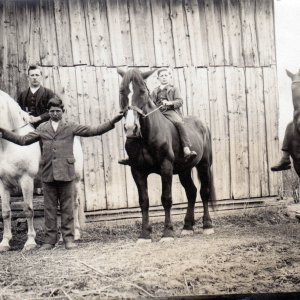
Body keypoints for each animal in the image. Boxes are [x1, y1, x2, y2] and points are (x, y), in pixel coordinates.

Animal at [0, 89, 84, 251]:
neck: (9, 145)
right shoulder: (2, 183)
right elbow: (6, 212)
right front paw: (5, 242)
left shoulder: (26, 180)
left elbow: (28, 210)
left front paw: (30, 242)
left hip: (75, 181)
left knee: (74, 204)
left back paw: (75, 234)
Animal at [117, 69, 216, 243]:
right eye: (122, 91)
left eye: (142, 92)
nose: (131, 128)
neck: (145, 137)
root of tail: (203, 124)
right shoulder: (137, 170)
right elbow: (144, 201)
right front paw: (144, 234)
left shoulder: (166, 167)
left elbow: (166, 198)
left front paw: (167, 232)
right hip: (184, 170)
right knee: (191, 192)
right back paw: (187, 227)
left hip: (203, 165)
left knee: (204, 192)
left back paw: (207, 225)